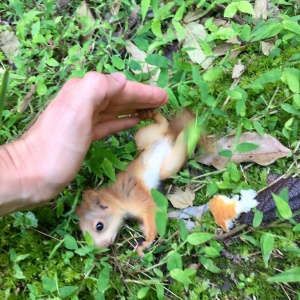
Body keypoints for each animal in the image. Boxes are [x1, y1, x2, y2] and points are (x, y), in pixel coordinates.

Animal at [75, 109, 195, 256]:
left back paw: (183, 127)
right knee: (165, 129)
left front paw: (146, 243)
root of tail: (165, 140)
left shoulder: (136, 198)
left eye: (99, 226)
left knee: (169, 130)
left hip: (165, 158)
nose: (100, 249)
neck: (116, 199)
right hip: (150, 143)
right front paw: (142, 229)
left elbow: (152, 214)